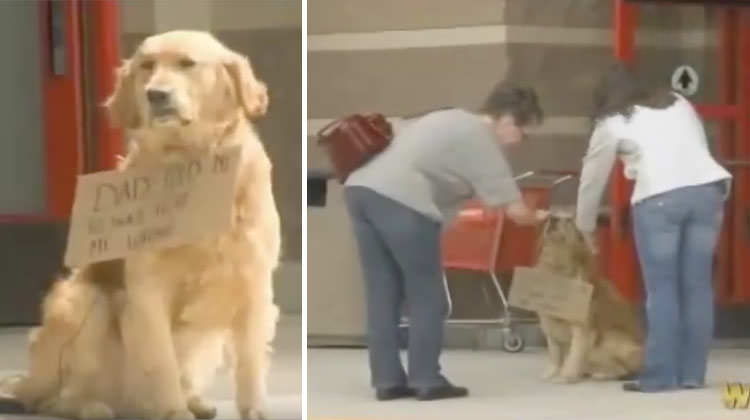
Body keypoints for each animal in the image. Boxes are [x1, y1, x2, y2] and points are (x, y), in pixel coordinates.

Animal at [0, 30, 282, 420]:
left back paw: (195, 401)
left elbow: (251, 361)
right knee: (56, 398)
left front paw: (254, 409)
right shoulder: (148, 289)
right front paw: (174, 411)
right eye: (147, 66)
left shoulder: (253, 281)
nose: (155, 94)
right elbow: (161, 361)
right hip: (81, 302)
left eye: (187, 64)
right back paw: (92, 407)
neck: (188, 163)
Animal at [536, 210, 648, 384]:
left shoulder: (583, 329)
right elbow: (554, 354)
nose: (552, 219)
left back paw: (601, 374)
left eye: (569, 220)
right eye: (551, 214)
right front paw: (551, 373)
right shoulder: (549, 324)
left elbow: (574, 355)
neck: (558, 269)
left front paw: (566, 376)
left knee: (623, 370)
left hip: (610, 338)